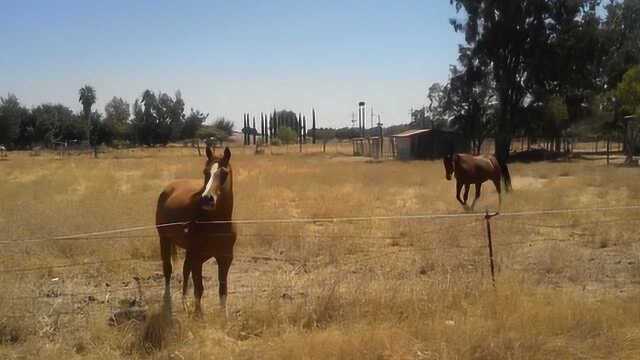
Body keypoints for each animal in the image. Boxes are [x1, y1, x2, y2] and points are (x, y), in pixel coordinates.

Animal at [155, 145, 235, 314]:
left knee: (185, 269)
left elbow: (223, 290)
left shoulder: (225, 258)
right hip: (164, 239)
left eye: (224, 173)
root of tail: (168, 188)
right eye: (205, 172)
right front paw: (199, 315)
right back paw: (168, 301)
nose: (207, 199)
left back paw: (185, 303)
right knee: (168, 269)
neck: (216, 224)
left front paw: (223, 316)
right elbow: (199, 289)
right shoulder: (198, 258)